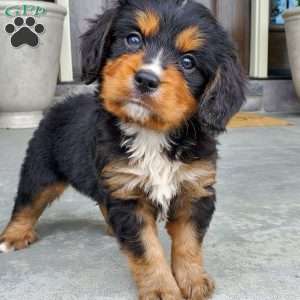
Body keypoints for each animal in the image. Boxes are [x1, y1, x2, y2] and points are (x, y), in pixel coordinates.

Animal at [0, 1, 246, 298]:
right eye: (133, 39)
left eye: (188, 63)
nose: (146, 79)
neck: (151, 134)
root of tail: (59, 105)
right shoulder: (129, 196)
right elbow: (147, 250)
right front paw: (161, 288)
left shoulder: (194, 189)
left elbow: (189, 242)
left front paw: (193, 279)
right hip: (41, 168)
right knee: (26, 203)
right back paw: (14, 235)